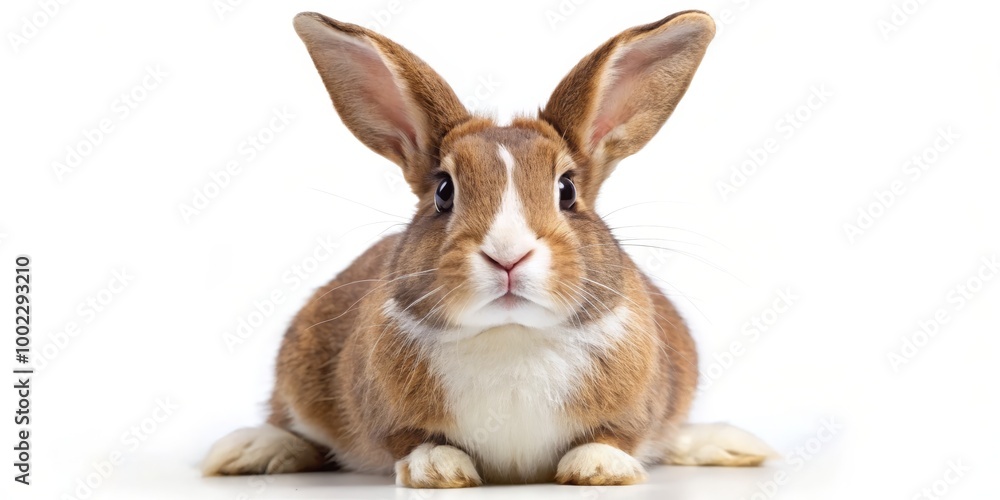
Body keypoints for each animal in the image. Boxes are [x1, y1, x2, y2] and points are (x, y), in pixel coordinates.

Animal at [203, 10, 776, 487]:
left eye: (567, 190)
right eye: (443, 192)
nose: (507, 255)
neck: (511, 334)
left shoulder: (639, 402)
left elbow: (617, 434)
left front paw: (600, 468)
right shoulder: (385, 411)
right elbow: (411, 440)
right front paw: (437, 468)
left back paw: (727, 444)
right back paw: (247, 451)